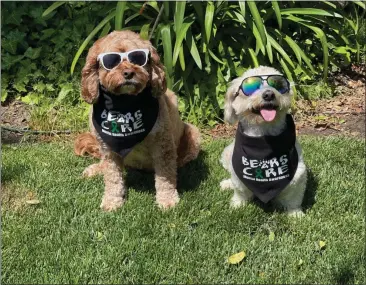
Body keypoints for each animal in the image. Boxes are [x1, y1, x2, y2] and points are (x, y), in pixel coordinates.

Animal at [74, 31, 200, 210]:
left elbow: (166, 177)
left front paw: (167, 199)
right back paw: (97, 169)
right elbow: (112, 177)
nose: (128, 73)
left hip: (194, 134)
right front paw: (112, 200)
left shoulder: (163, 145)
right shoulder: (108, 148)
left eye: (138, 58)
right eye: (111, 61)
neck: (125, 105)